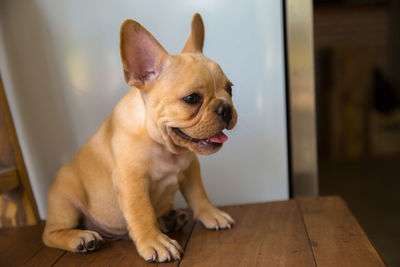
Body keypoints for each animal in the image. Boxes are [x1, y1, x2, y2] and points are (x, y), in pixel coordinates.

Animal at [43, 13, 238, 262]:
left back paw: (170, 219)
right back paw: (80, 237)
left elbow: (198, 195)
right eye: (191, 98)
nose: (226, 108)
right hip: (65, 202)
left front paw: (211, 214)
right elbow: (142, 213)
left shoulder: (190, 170)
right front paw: (154, 241)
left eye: (230, 90)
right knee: (50, 234)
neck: (163, 146)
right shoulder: (131, 181)